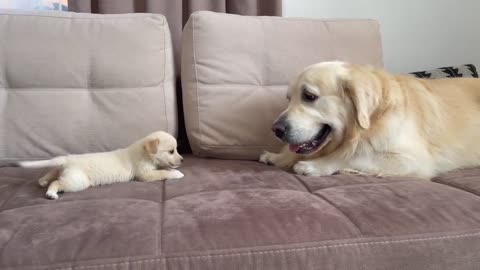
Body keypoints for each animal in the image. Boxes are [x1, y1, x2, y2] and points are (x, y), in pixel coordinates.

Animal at [18, 130, 184, 199]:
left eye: (176, 150)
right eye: (171, 151)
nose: (182, 160)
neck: (145, 151)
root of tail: (68, 159)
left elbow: (161, 168)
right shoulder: (145, 174)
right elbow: (162, 172)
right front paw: (176, 173)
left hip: (65, 171)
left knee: (53, 172)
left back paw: (42, 180)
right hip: (77, 181)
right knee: (57, 182)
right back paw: (51, 193)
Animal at [260, 61, 480, 179]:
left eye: (309, 96)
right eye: (289, 99)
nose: (276, 129)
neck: (371, 122)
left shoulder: (413, 160)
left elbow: (354, 155)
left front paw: (315, 165)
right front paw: (278, 156)